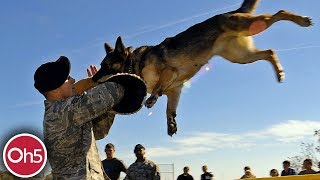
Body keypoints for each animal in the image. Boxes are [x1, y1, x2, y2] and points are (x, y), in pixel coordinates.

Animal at [93, 0, 312, 136]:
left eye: (105, 66)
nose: (93, 79)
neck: (135, 63)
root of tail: (232, 11)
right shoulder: (176, 90)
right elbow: (169, 109)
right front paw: (171, 124)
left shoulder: (169, 74)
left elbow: (158, 88)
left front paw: (153, 98)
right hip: (242, 57)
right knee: (270, 52)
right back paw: (279, 72)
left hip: (248, 27)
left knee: (279, 13)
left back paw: (302, 20)